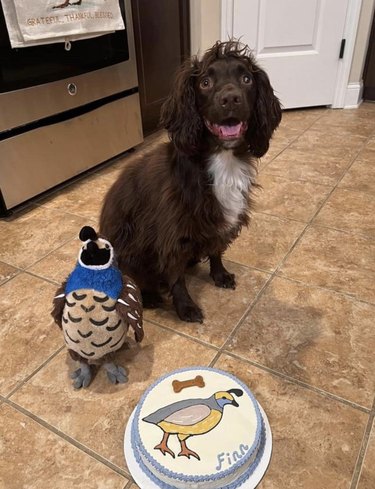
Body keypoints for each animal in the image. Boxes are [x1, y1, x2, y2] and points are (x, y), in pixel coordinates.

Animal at [100, 41, 282, 320]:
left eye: (247, 79)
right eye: (205, 82)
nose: (230, 98)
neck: (222, 159)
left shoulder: (220, 220)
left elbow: (216, 250)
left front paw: (220, 275)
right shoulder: (173, 234)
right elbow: (176, 277)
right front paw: (185, 307)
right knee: (132, 278)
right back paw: (150, 296)